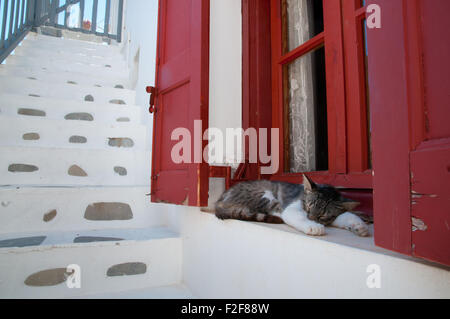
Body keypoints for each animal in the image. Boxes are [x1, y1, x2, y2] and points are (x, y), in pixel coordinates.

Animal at [216, 175, 370, 238]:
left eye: (322, 215)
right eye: (308, 206)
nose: (311, 218)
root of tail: (220, 199)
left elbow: (345, 215)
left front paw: (359, 226)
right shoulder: (292, 206)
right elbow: (297, 216)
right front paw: (312, 226)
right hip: (264, 194)